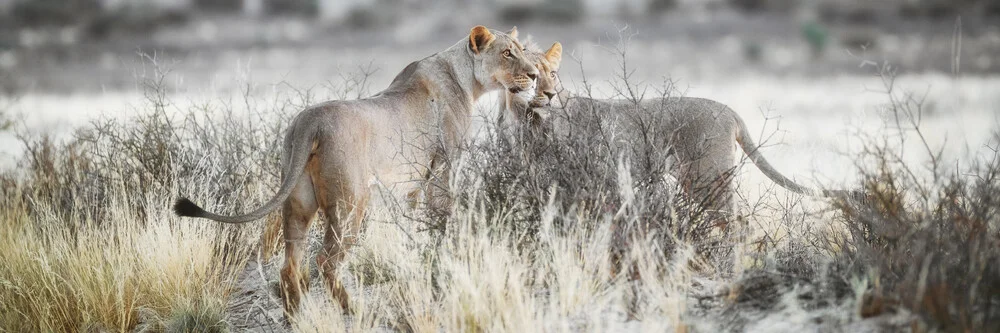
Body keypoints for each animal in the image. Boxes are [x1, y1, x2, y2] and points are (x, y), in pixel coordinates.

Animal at [176, 26, 544, 314]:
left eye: (523, 52)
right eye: (508, 53)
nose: (535, 75)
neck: (464, 75)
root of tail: (309, 121)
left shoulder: (413, 183)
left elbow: (413, 224)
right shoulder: (445, 166)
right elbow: (444, 211)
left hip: (298, 203)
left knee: (290, 265)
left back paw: (296, 319)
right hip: (352, 203)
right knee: (326, 261)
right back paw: (353, 309)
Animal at [504, 42, 864, 223]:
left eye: (552, 73)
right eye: (532, 73)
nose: (549, 93)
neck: (531, 121)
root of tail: (729, 110)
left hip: (709, 179)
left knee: (737, 223)